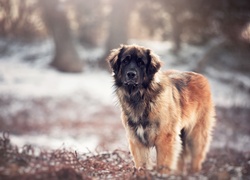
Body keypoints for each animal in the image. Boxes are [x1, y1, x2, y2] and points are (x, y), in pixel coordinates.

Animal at [105, 44, 215, 174]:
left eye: (141, 63)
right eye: (125, 61)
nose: (131, 74)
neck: (141, 97)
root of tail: (201, 76)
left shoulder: (165, 139)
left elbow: (163, 164)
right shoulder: (136, 140)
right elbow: (142, 164)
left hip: (196, 135)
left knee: (196, 158)